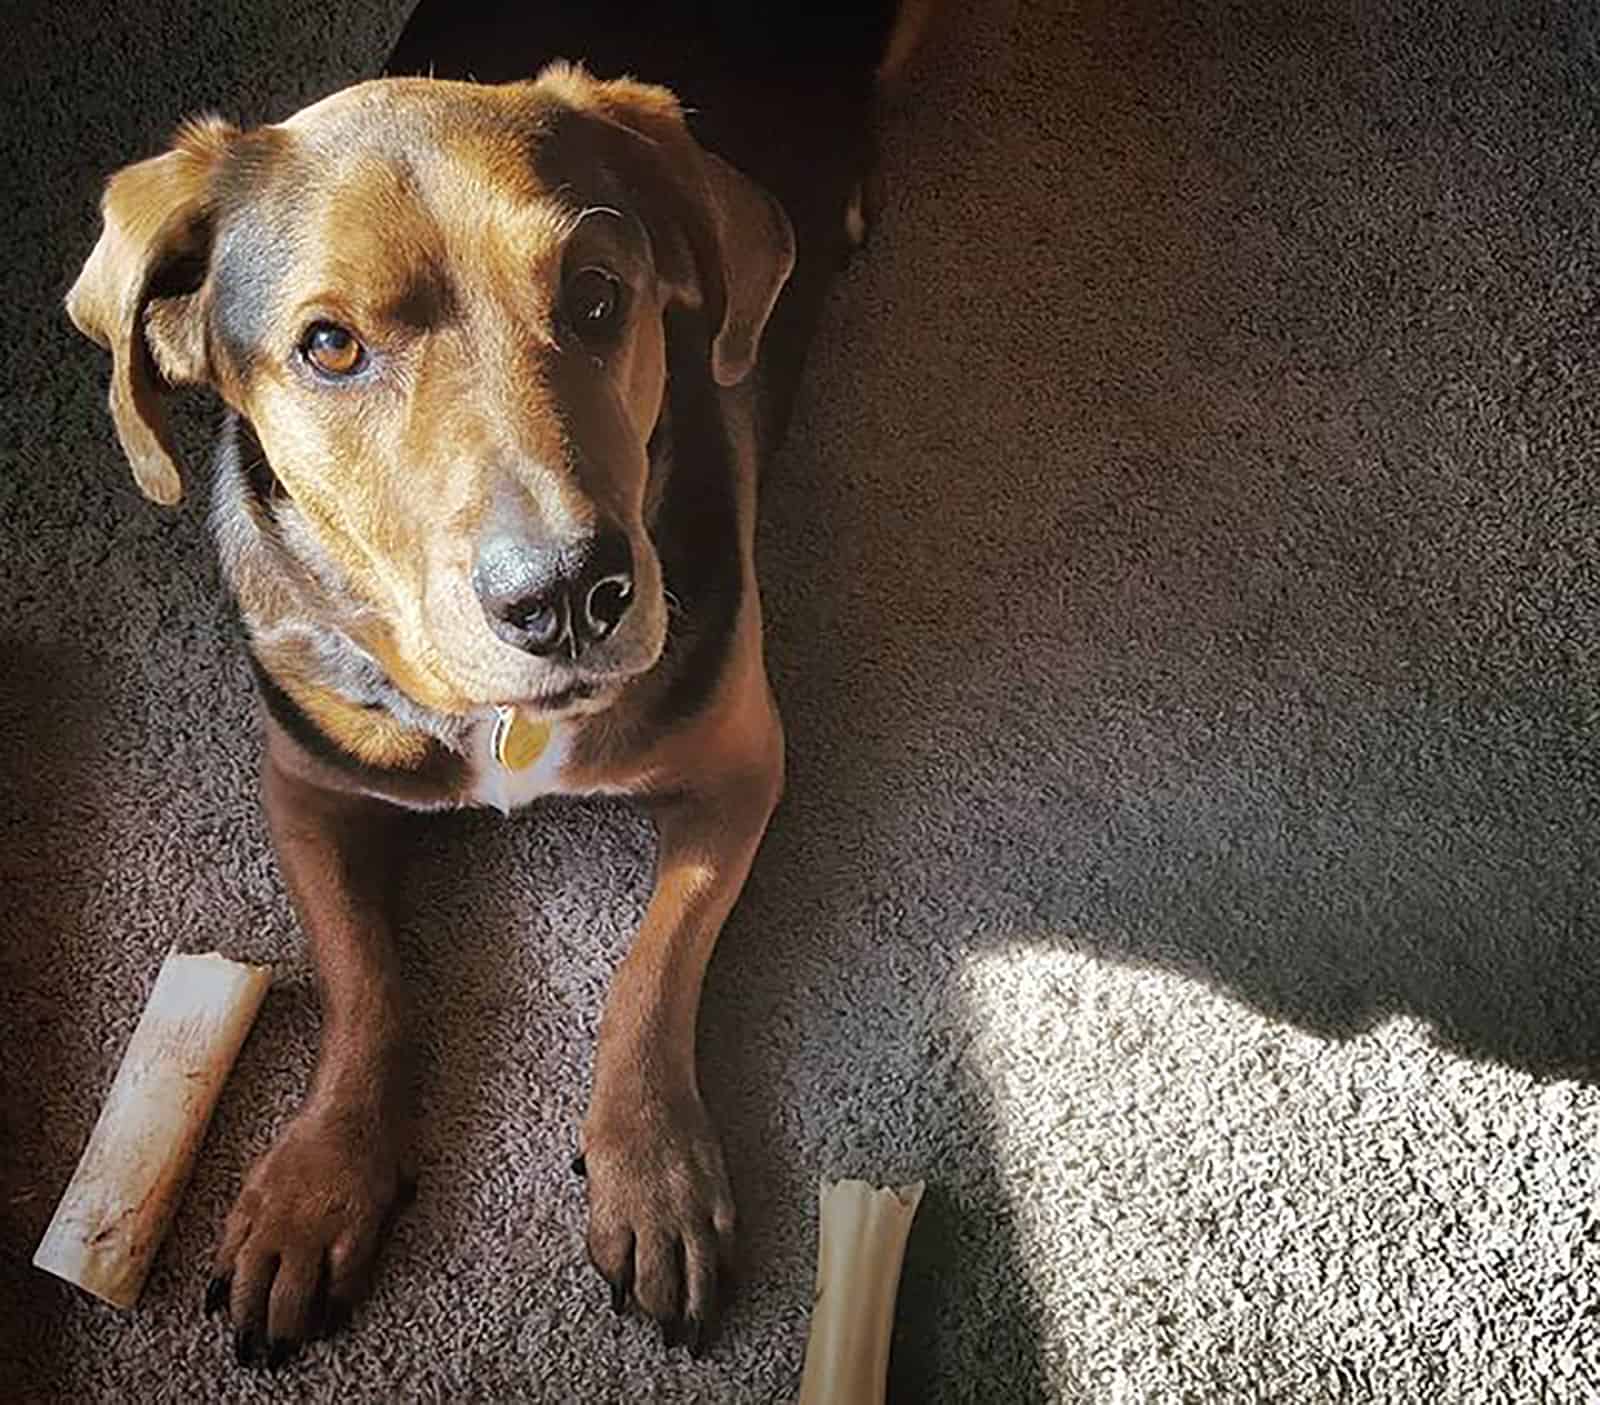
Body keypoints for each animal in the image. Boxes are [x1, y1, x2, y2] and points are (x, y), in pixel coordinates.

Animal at [68, 0, 934, 1376]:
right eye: (329, 345)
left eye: (595, 297)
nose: (570, 593)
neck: (494, 719)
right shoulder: (305, 788)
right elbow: (365, 980)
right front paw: (317, 1180)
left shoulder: (741, 766)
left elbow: (654, 969)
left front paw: (654, 1170)